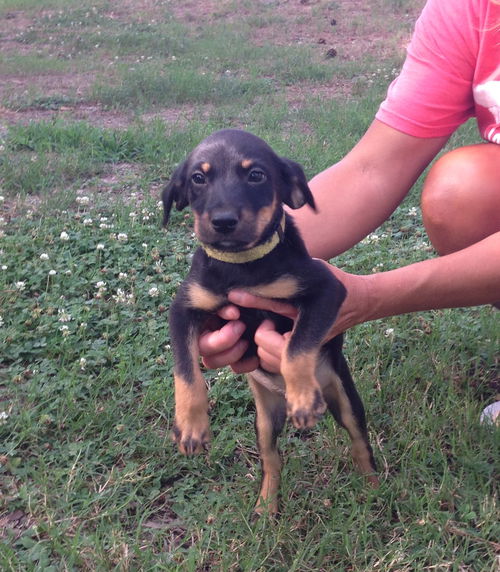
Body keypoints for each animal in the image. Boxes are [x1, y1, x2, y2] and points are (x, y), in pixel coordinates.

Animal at [164, 130, 378, 512]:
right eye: (198, 178)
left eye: (256, 175)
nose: (223, 221)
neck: (241, 264)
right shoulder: (184, 309)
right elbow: (186, 371)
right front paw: (190, 425)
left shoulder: (327, 291)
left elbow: (297, 346)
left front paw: (303, 397)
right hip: (264, 421)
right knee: (271, 459)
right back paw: (266, 507)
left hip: (346, 400)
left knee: (359, 443)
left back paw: (374, 490)